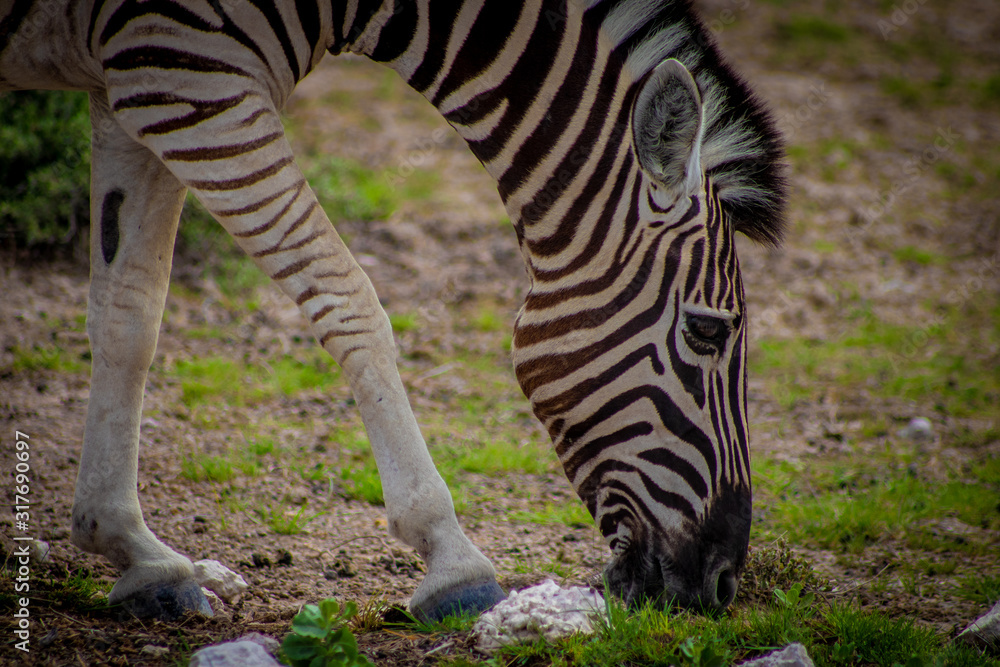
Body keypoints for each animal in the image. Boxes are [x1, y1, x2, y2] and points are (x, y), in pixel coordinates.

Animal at [0, 0, 780, 620]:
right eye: (706, 330)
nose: (721, 587)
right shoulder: (186, 76)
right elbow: (349, 297)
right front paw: (451, 558)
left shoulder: (134, 86)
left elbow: (128, 314)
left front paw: (134, 552)